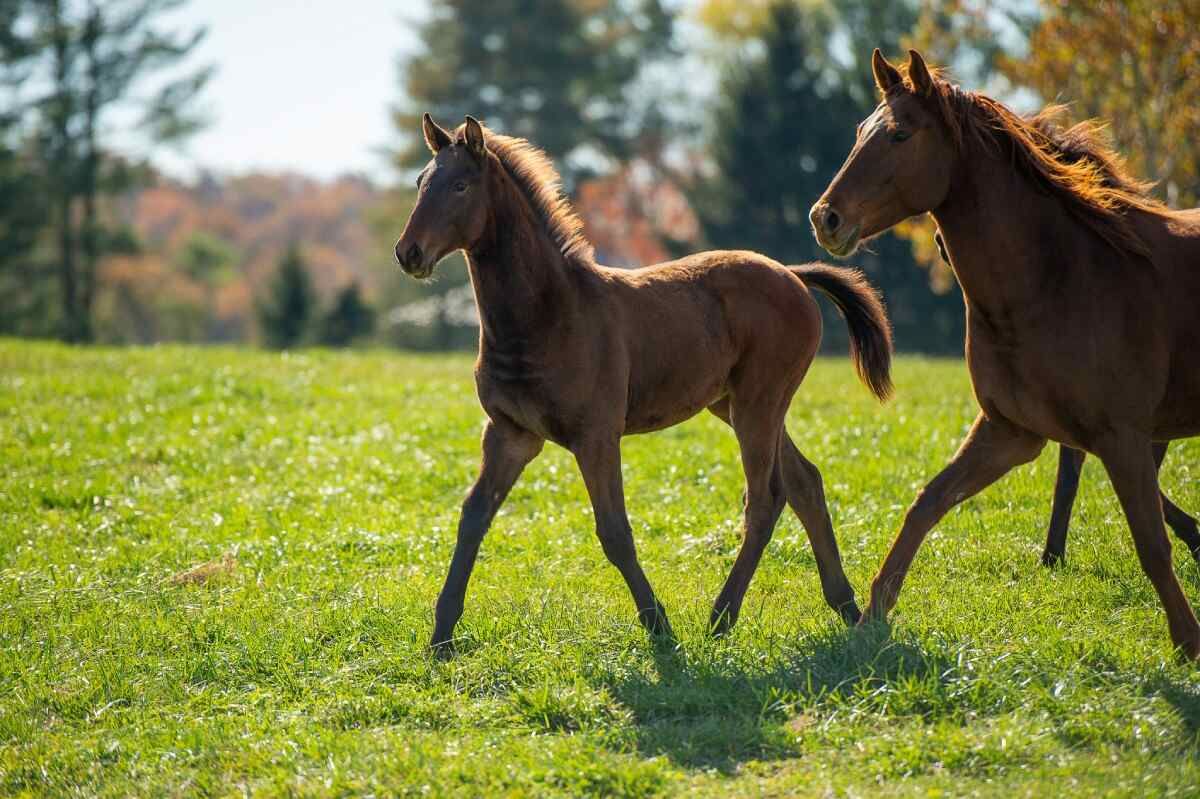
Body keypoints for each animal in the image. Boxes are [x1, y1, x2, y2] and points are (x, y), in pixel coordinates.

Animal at [395, 113, 894, 656]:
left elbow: (614, 531)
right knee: (805, 482)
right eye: (420, 183)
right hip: (737, 405)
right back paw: (846, 606)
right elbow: (472, 518)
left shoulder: (596, 436)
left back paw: (722, 618)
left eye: (461, 186)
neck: (548, 313)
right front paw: (441, 636)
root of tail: (793, 274)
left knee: (764, 500)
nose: (409, 253)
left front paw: (660, 627)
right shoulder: (509, 434)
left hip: (759, 404)